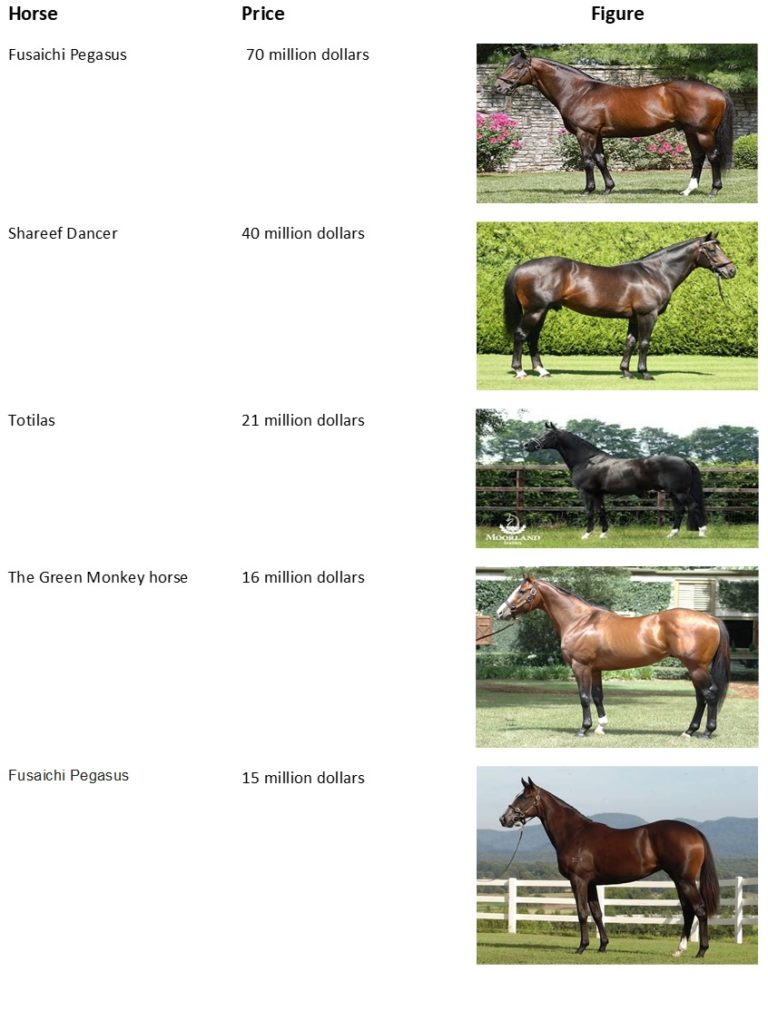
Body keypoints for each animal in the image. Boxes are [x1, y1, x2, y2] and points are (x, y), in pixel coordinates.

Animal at [495, 51, 734, 196]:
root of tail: (717, 90)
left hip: (704, 132)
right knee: (698, 158)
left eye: (518, 67)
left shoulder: (585, 133)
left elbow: (588, 160)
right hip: (690, 132)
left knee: (713, 156)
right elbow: (601, 160)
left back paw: (714, 190)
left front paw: (587, 190)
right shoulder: (597, 135)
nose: (498, 87)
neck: (580, 92)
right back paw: (687, 191)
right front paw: (608, 189)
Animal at [496, 576, 730, 738]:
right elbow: (598, 696)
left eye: (522, 591)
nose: (501, 612)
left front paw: (583, 729)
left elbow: (584, 697)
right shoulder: (595, 669)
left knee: (710, 694)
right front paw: (601, 727)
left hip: (696, 667)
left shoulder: (580, 667)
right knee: (701, 698)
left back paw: (706, 732)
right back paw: (689, 731)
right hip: (694, 668)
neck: (580, 621)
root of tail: (710, 618)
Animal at [499, 778, 720, 957]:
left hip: (684, 881)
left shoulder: (578, 881)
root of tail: (695, 832)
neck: (574, 833)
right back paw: (679, 950)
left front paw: (581, 947)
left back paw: (701, 951)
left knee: (699, 910)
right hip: (679, 880)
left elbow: (582, 912)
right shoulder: (591, 883)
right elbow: (597, 913)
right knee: (688, 911)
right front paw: (602, 946)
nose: (504, 819)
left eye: (525, 797)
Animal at [503, 232, 736, 379]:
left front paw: (626, 372)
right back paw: (520, 371)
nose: (731, 271)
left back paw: (542, 371)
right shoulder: (647, 315)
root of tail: (520, 267)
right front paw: (645, 373)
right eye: (712, 250)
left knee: (533, 338)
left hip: (541, 312)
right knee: (521, 335)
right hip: (535, 311)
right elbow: (644, 343)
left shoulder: (633, 317)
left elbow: (630, 343)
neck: (656, 273)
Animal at [524, 422, 707, 539]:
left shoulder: (586, 492)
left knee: (693, 506)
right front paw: (603, 534)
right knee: (680, 511)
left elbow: (589, 512)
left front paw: (586, 535)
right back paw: (672, 534)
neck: (587, 460)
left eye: (548, 434)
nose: (527, 445)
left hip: (679, 492)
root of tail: (684, 460)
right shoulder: (598, 493)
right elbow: (601, 511)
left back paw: (701, 532)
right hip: (673, 493)